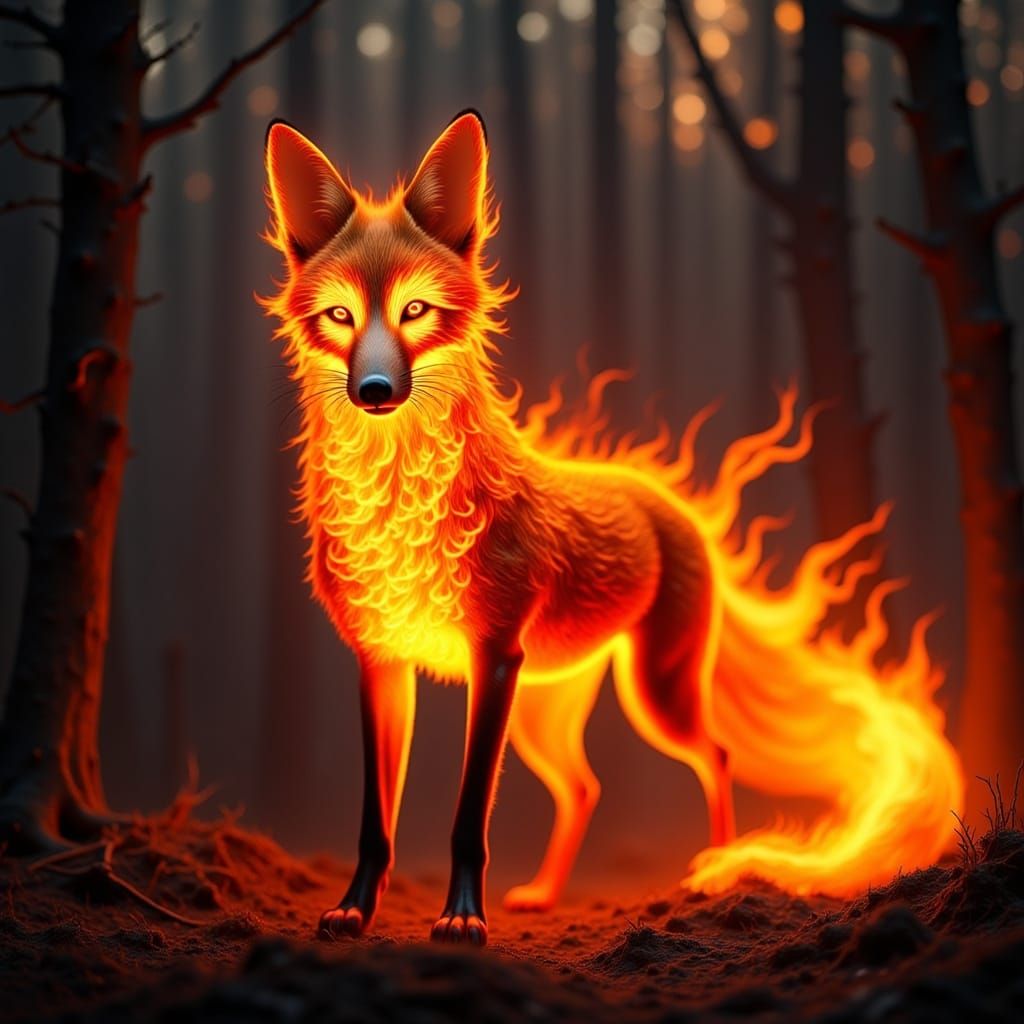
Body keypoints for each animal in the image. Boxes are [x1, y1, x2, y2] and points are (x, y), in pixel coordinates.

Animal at [261, 111, 962, 947]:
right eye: (340, 315)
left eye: (415, 311)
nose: (373, 391)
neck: (402, 511)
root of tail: (665, 497)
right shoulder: (382, 665)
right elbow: (376, 822)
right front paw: (356, 909)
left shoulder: (492, 659)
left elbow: (468, 818)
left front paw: (462, 917)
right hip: (544, 712)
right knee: (587, 788)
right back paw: (546, 892)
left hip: (651, 693)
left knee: (716, 755)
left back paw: (718, 874)